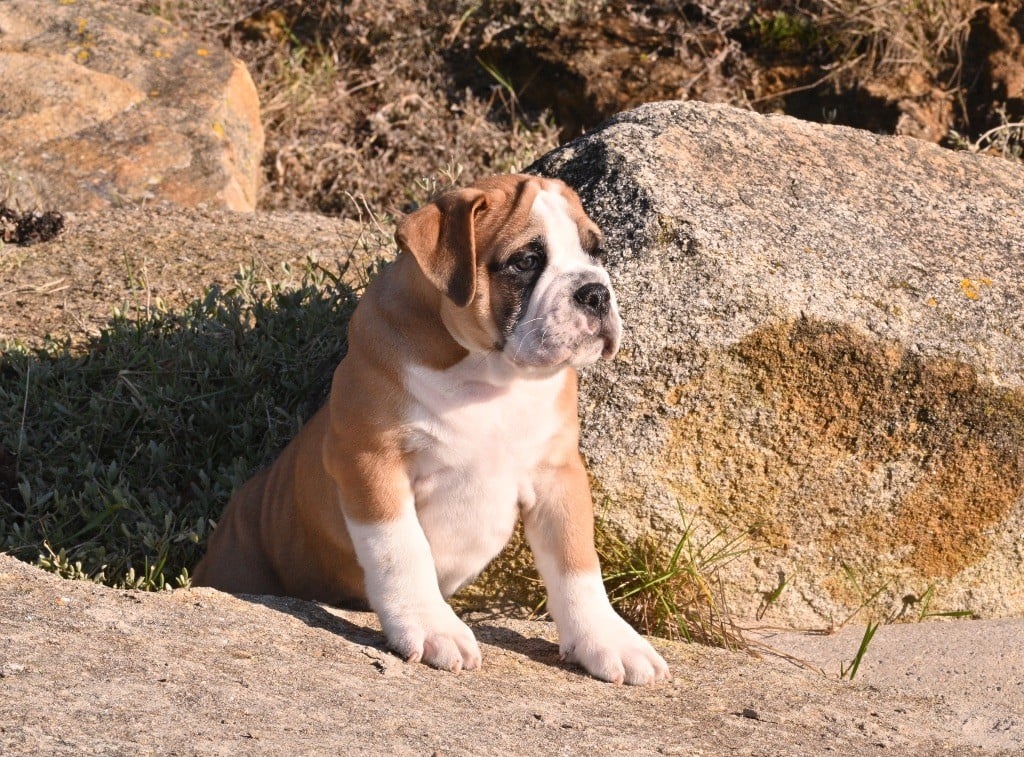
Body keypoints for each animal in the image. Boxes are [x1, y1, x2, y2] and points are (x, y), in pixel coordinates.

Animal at [193, 174, 669, 685]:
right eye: (525, 261)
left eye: (595, 253)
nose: (596, 292)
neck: (489, 376)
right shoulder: (370, 462)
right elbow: (401, 549)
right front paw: (430, 625)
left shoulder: (558, 473)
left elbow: (576, 561)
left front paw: (609, 639)